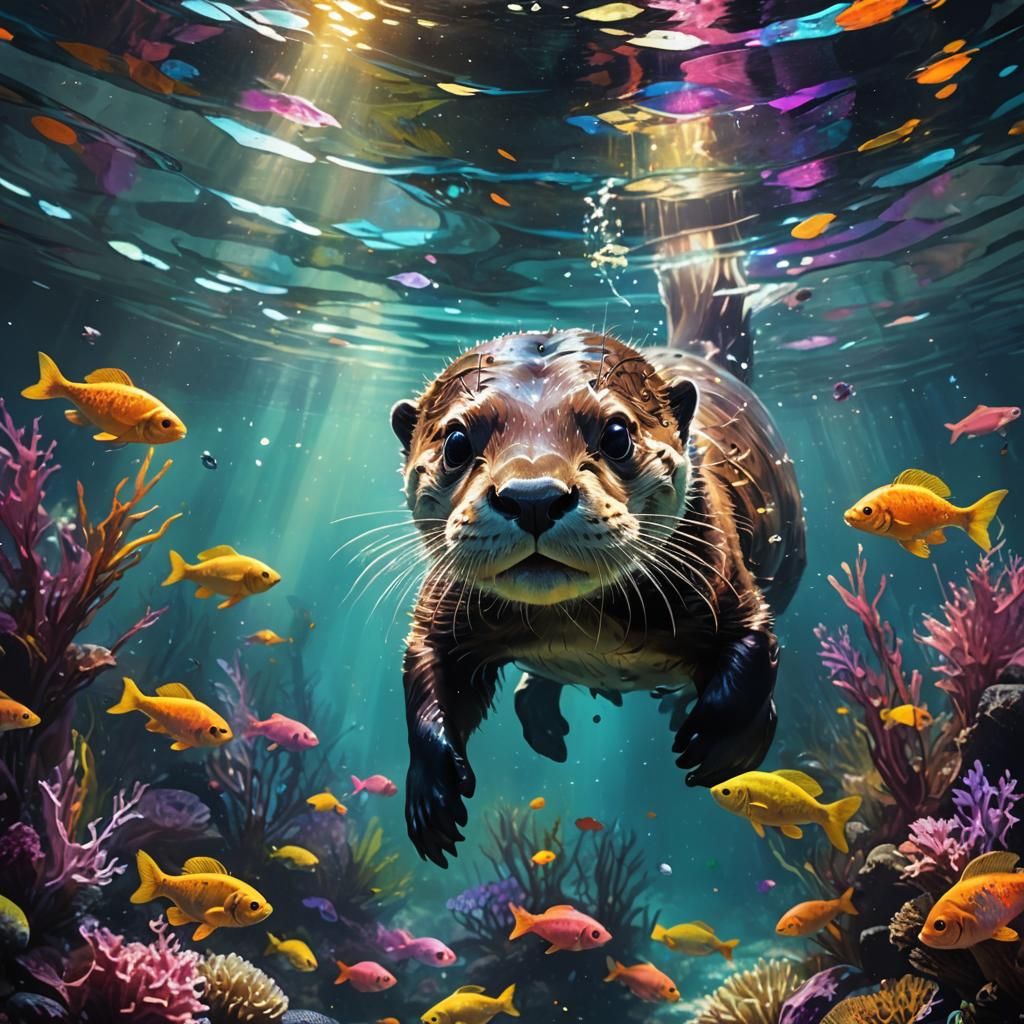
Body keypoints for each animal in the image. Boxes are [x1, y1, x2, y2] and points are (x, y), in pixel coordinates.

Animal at [390, 329, 805, 866]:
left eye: (616, 434)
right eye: (456, 442)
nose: (533, 496)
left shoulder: (721, 572)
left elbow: (755, 642)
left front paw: (718, 745)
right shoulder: (446, 604)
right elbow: (426, 663)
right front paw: (431, 796)